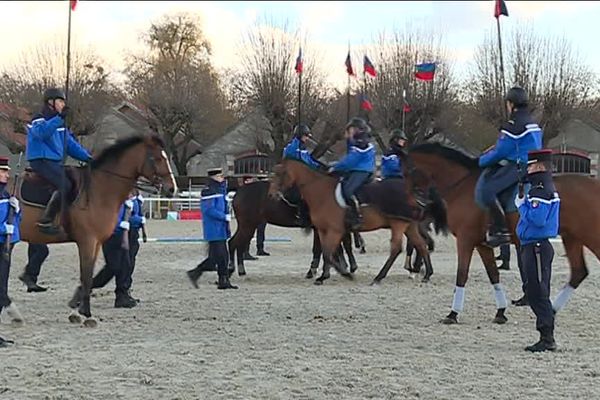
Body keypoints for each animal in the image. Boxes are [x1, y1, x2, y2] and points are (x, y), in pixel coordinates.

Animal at [18, 136, 177, 326]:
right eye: (158, 158)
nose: (172, 188)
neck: (99, 190)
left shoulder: (97, 243)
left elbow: (89, 275)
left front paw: (79, 309)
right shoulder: (87, 241)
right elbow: (86, 275)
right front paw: (86, 313)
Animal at [229, 180, 360, 278]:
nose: (357, 221)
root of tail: (238, 192)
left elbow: (326, 248)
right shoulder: (320, 229)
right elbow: (320, 249)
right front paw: (312, 271)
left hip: (249, 226)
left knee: (238, 245)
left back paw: (241, 270)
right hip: (247, 225)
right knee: (233, 243)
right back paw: (232, 268)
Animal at [270, 159, 448, 284]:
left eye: (280, 173)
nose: (272, 195)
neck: (322, 192)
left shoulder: (335, 231)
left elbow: (329, 252)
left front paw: (344, 273)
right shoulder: (323, 230)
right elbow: (328, 252)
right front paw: (325, 275)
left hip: (398, 224)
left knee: (397, 248)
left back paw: (379, 277)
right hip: (409, 225)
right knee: (421, 245)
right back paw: (426, 274)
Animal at [408, 142, 600, 324]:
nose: (417, 205)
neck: (461, 185)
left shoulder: (465, 240)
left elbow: (462, 274)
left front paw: (453, 314)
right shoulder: (482, 244)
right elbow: (493, 274)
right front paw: (500, 312)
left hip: (590, 237)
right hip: (572, 237)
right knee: (578, 272)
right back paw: (550, 312)